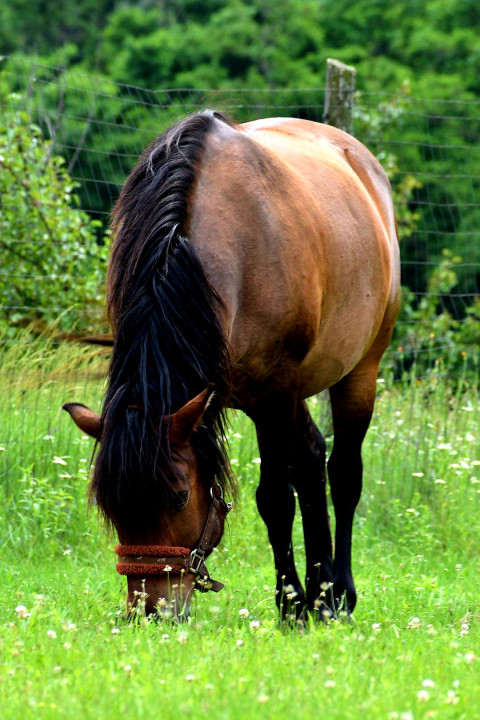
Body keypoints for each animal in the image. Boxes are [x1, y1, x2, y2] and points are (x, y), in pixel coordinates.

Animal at [63, 110, 400, 621]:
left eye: (179, 495)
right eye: (112, 505)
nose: (152, 611)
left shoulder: (275, 392)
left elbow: (275, 499)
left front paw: (290, 606)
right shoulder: (264, 395)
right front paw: (301, 601)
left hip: (358, 371)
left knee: (343, 473)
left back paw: (337, 595)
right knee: (311, 459)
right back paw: (321, 594)